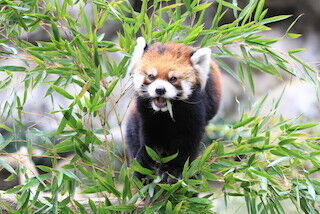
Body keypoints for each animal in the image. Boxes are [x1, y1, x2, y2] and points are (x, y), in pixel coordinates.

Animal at [124, 37, 220, 183]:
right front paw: (146, 159)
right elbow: (150, 135)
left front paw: (174, 169)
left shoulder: (195, 109)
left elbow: (187, 141)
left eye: (173, 79)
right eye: (151, 76)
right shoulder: (145, 112)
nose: (160, 90)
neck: (166, 112)